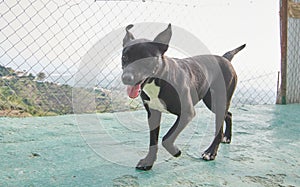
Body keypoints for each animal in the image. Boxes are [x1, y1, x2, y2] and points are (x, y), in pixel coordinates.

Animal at [120, 23, 245, 169]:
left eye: (146, 59)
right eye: (125, 57)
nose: (127, 78)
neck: (160, 79)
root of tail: (225, 58)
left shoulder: (187, 113)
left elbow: (166, 138)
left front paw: (175, 151)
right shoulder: (153, 113)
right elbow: (153, 140)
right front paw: (148, 162)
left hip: (219, 101)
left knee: (219, 128)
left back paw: (211, 152)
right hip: (211, 102)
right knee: (229, 115)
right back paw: (227, 137)